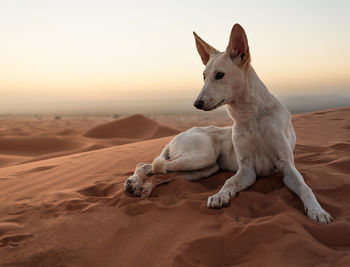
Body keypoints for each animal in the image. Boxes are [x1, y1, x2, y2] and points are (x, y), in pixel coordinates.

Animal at [124, 23, 332, 224]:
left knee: (160, 173)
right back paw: (134, 182)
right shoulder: (247, 169)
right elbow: (229, 182)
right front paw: (220, 196)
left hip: (203, 168)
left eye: (219, 75)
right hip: (199, 157)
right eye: (204, 76)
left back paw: (142, 187)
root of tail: (178, 135)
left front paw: (317, 211)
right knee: (146, 165)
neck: (250, 117)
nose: (197, 104)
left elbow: (305, 187)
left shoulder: (287, 167)